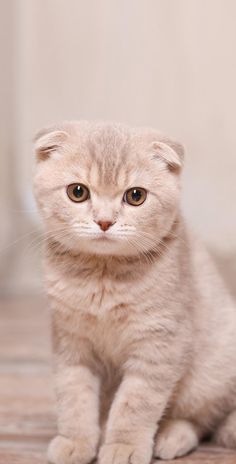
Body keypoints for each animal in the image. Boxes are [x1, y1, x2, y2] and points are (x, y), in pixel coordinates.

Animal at [33, 121, 236, 464]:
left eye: (136, 196)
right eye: (78, 192)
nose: (104, 221)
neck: (103, 277)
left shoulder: (159, 345)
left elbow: (135, 403)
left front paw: (123, 446)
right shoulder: (71, 342)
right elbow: (74, 395)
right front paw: (76, 440)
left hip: (210, 371)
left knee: (202, 419)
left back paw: (171, 436)